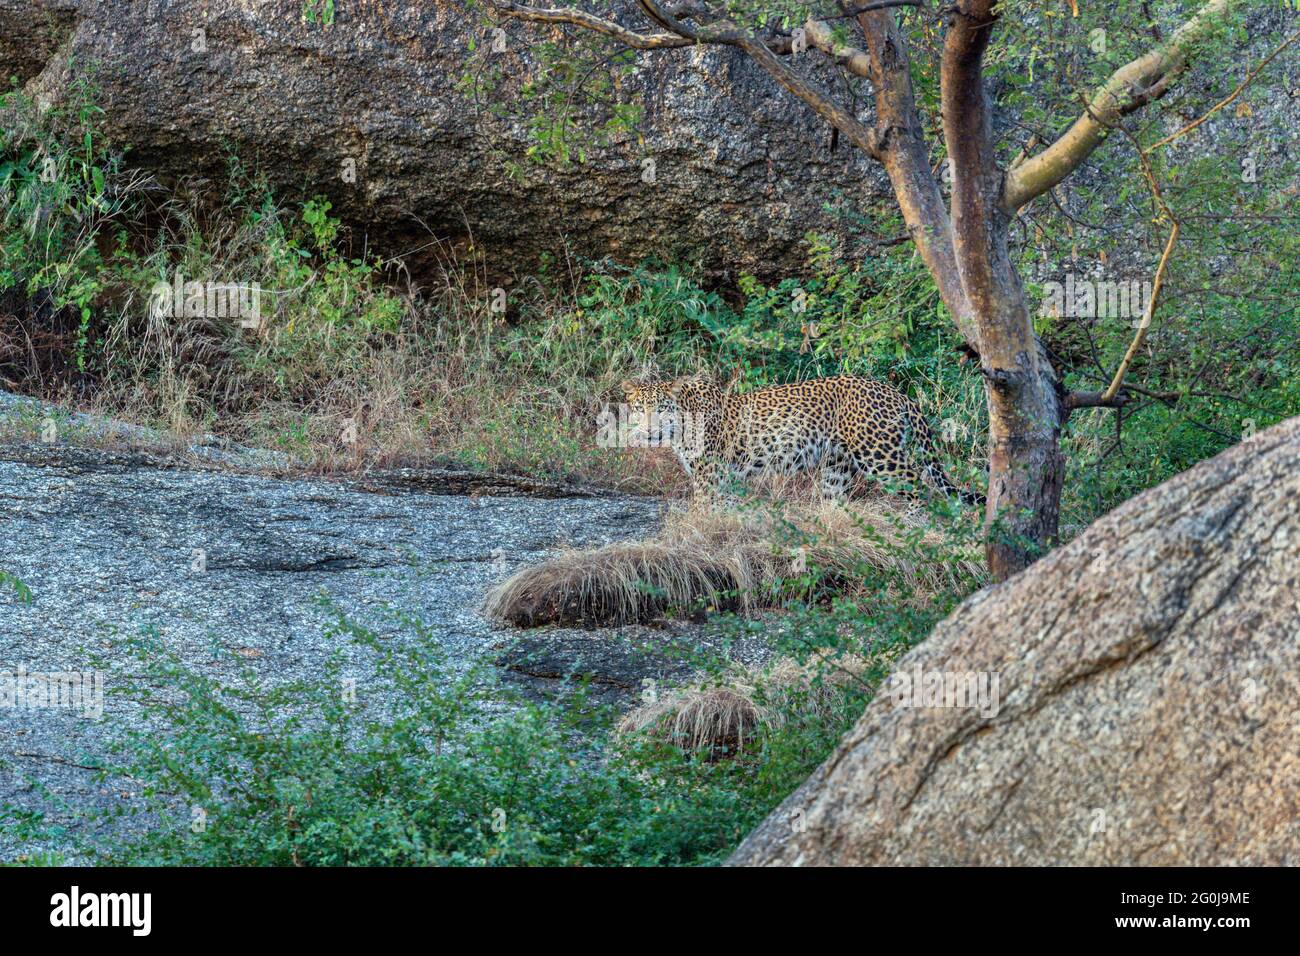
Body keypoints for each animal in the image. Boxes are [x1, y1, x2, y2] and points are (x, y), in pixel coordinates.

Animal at [618, 374, 982, 509]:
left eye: (661, 408)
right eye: (640, 407)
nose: (648, 430)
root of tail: (896, 392)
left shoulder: (710, 474)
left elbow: (703, 507)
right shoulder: (720, 477)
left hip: (879, 454)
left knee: (917, 482)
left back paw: (914, 525)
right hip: (838, 465)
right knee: (836, 496)